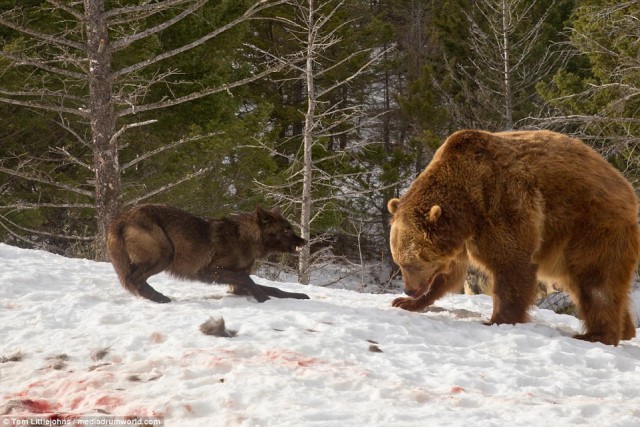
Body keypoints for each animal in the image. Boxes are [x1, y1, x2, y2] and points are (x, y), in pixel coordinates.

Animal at [105, 205, 310, 302]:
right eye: (286, 230)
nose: (305, 241)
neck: (244, 239)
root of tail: (121, 218)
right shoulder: (209, 270)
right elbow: (249, 280)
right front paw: (262, 298)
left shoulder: (236, 285)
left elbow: (273, 288)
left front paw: (299, 296)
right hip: (166, 253)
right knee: (132, 279)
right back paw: (159, 298)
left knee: (135, 280)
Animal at [388, 129, 636, 346]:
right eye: (399, 262)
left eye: (412, 263)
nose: (409, 289)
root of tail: (626, 186)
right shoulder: (460, 239)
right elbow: (450, 274)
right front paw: (408, 302)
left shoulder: (502, 203)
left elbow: (511, 264)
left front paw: (497, 319)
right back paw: (626, 330)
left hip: (592, 227)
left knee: (596, 282)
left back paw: (597, 335)